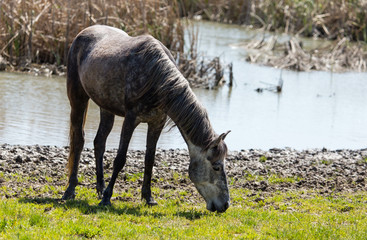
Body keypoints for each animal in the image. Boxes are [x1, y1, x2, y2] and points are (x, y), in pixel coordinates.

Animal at [61, 24, 231, 212]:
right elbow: (120, 159)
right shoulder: (130, 119)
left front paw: (148, 197)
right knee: (78, 141)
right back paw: (70, 191)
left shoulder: (157, 122)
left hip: (106, 107)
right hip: (78, 98)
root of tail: (83, 32)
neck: (156, 78)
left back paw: (100, 188)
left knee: (99, 142)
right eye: (216, 167)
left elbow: (150, 160)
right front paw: (107, 198)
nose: (225, 204)